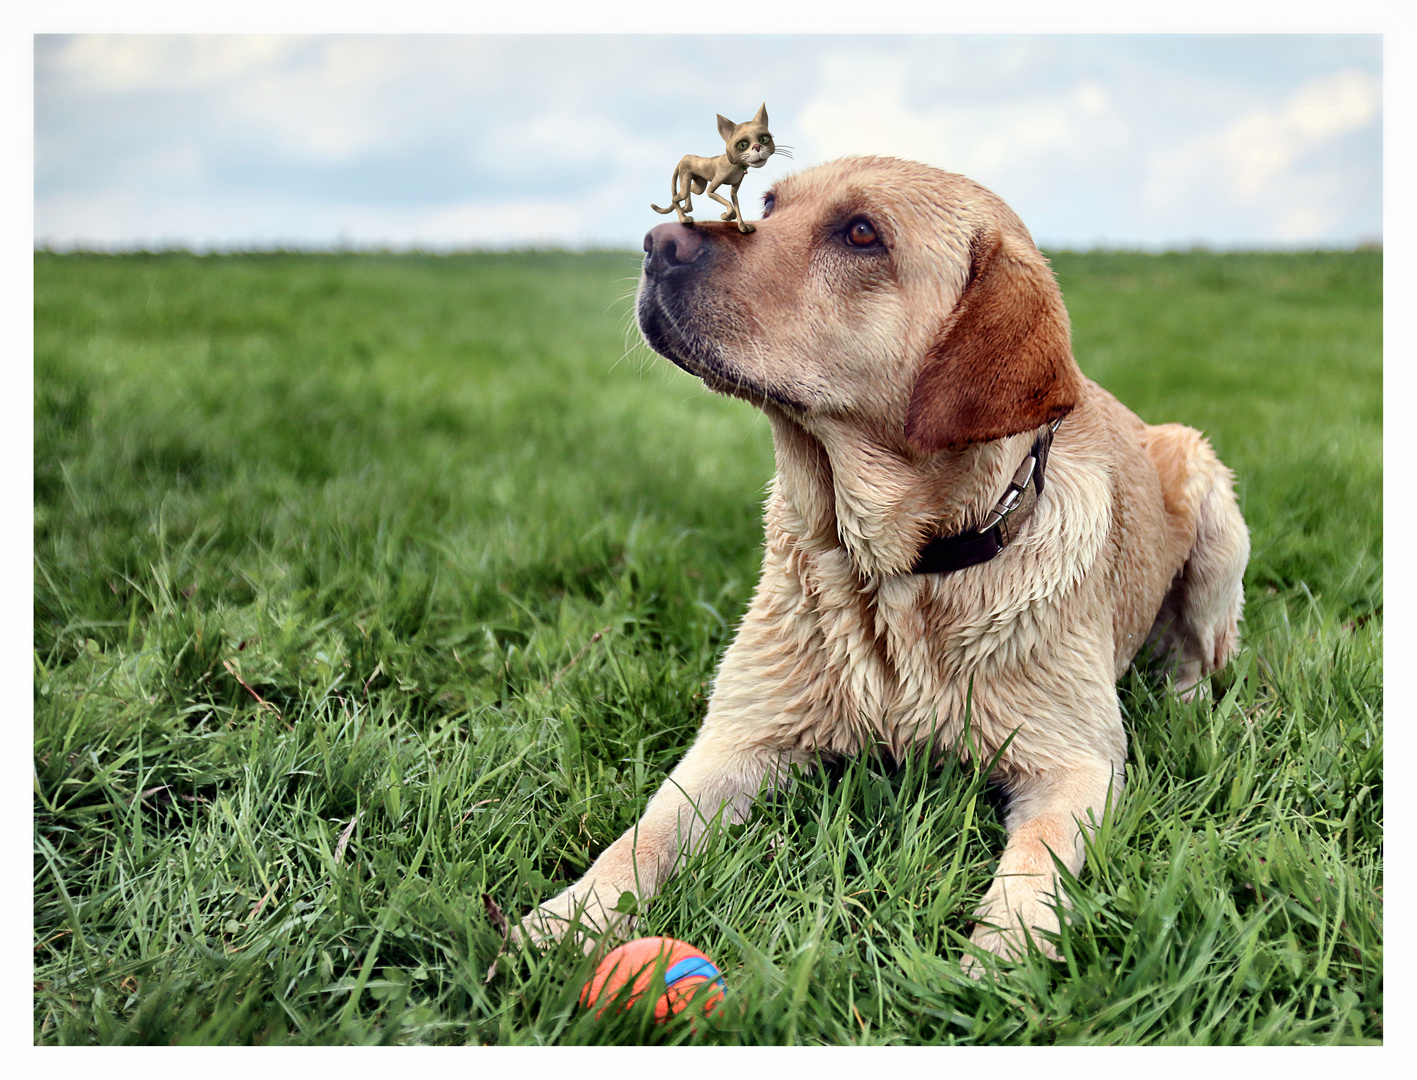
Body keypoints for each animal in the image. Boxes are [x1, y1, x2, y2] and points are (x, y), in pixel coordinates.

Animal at [521, 155, 1252, 963]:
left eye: (861, 234)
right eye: (765, 204)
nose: (657, 244)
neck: (893, 569)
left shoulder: (1074, 766)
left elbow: (1032, 870)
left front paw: (997, 962)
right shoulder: (740, 735)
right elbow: (644, 836)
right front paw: (564, 919)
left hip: (1208, 497)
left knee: (1201, 653)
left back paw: (1185, 707)